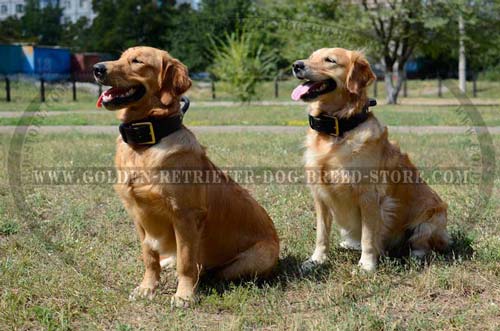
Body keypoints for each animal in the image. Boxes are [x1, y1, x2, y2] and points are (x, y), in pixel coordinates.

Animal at [93, 45, 280, 308]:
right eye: (120, 57)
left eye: (137, 61)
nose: (97, 68)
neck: (146, 142)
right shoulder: (138, 214)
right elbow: (149, 257)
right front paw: (147, 287)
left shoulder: (185, 215)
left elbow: (187, 261)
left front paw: (184, 295)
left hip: (254, 259)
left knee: (213, 270)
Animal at [290, 48, 450, 272]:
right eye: (311, 56)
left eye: (330, 60)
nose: (296, 65)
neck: (338, 128)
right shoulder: (320, 195)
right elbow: (321, 234)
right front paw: (317, 260)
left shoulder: (369, 196)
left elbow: (368, 236)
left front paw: (366, 265)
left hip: (432, 218)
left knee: (423, 243)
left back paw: (416, 255)